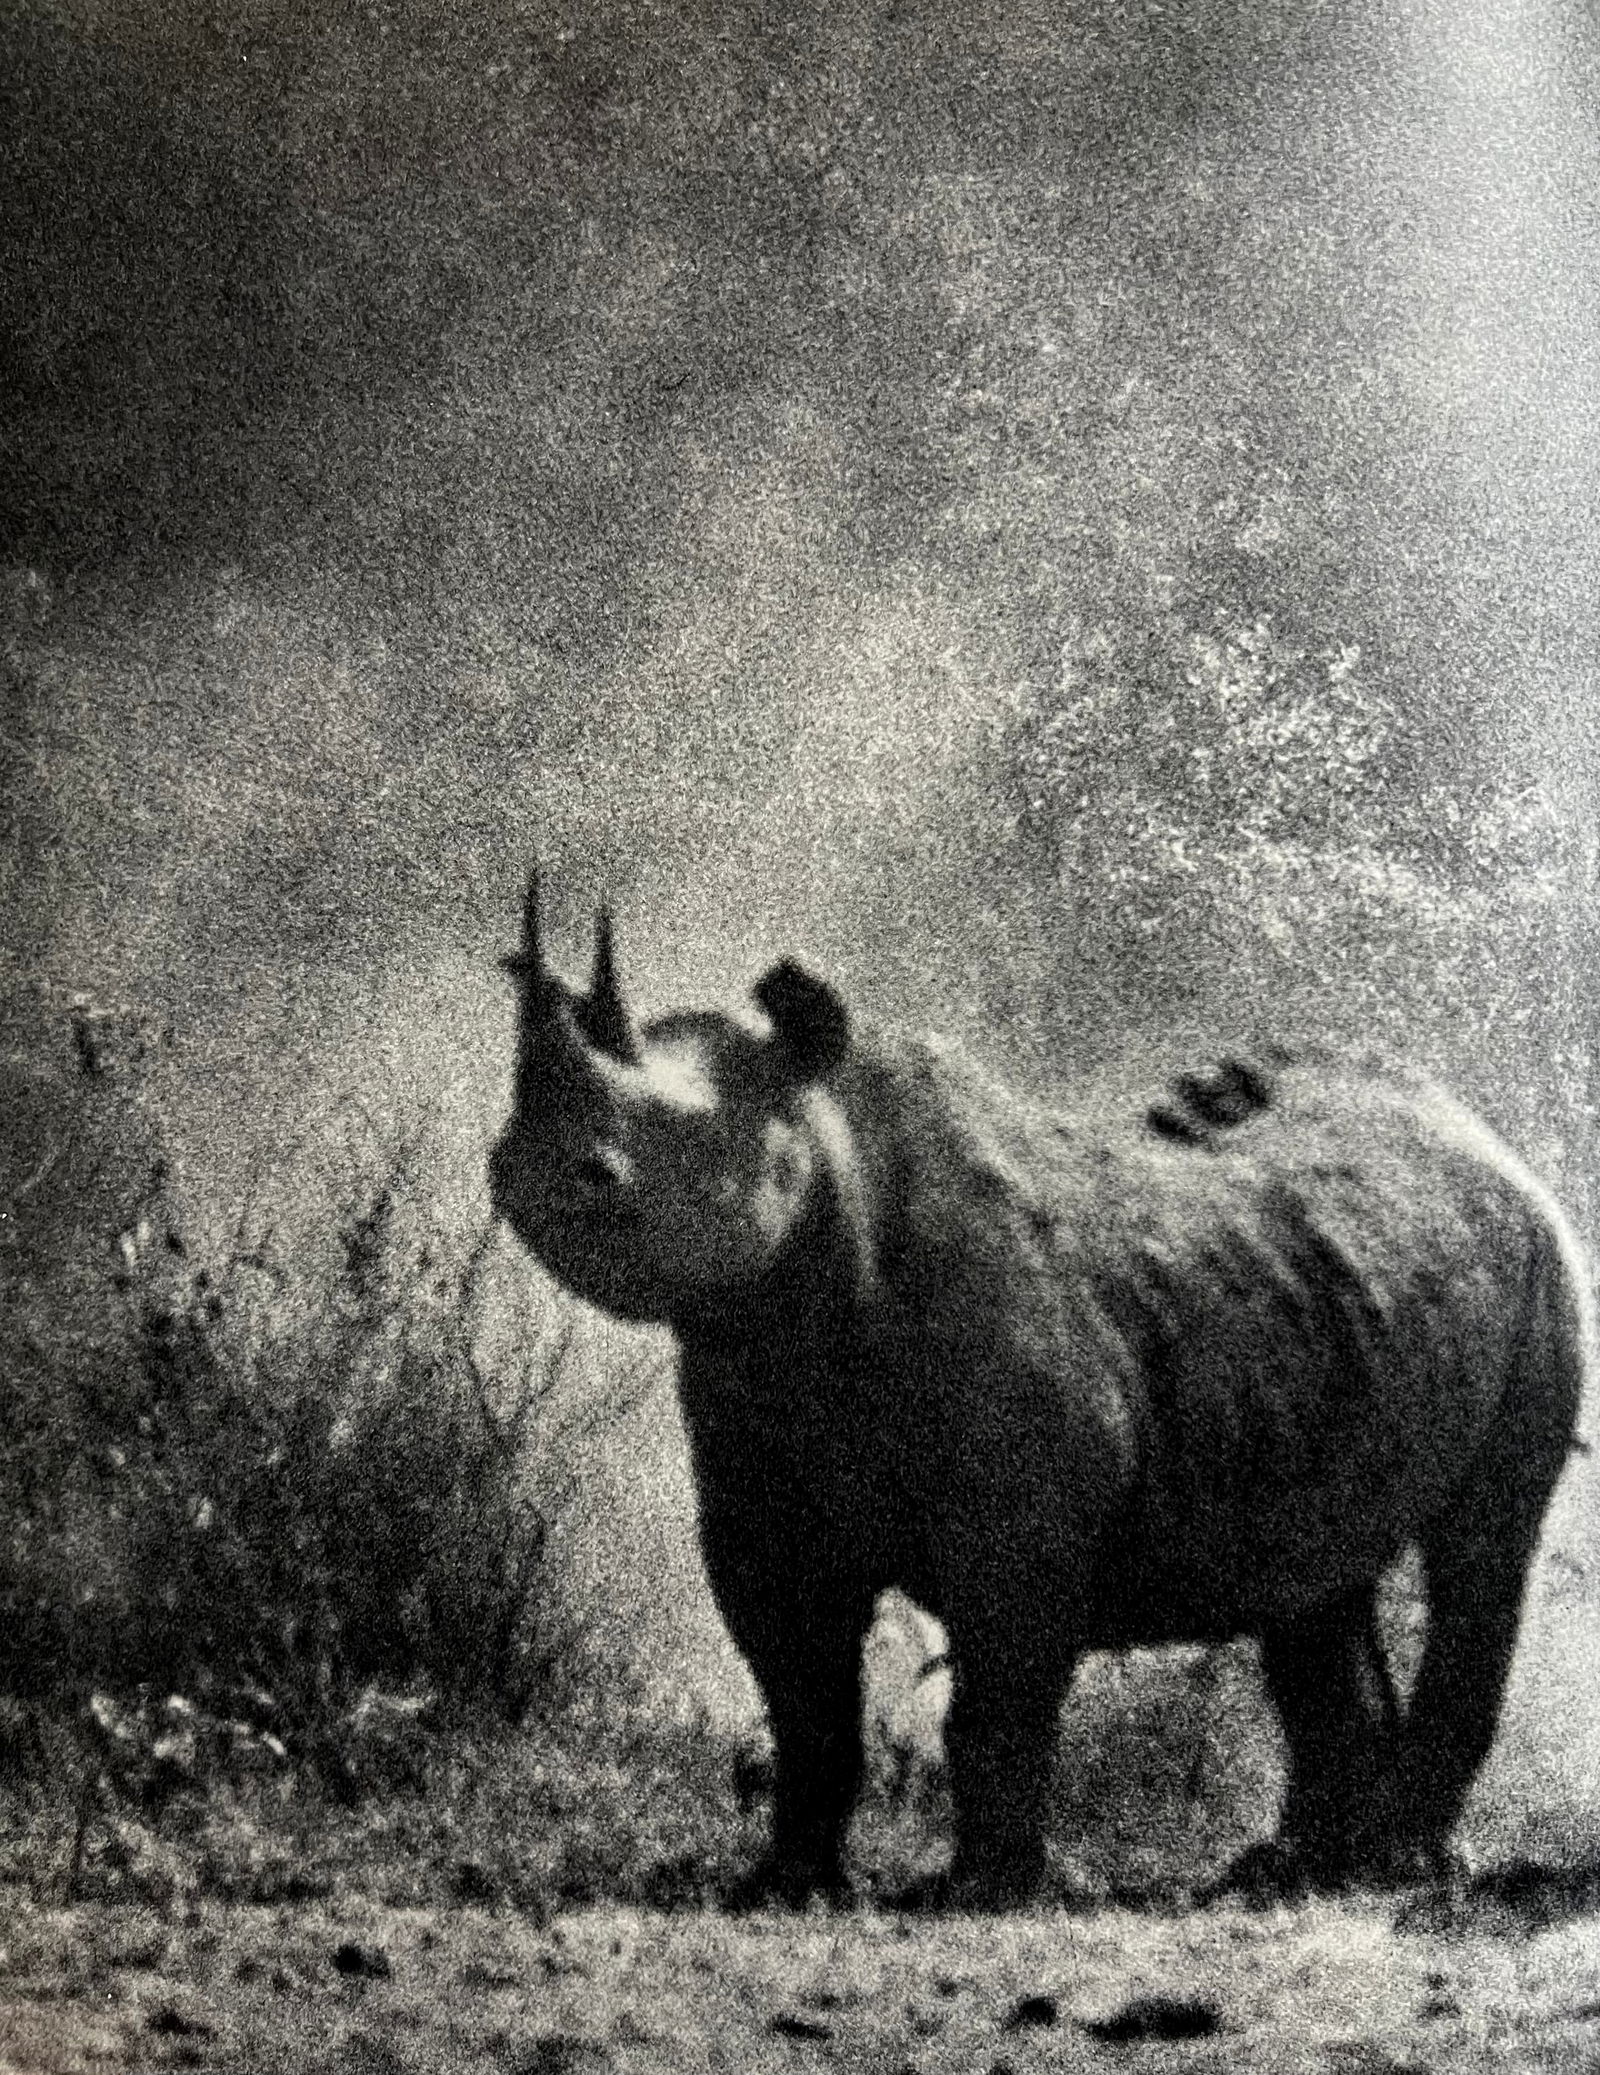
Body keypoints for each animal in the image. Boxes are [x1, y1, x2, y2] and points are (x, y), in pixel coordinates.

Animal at [488, 872, 1590, 1908]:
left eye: (664, 1148)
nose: (526, 1169)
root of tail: (1482, 1134)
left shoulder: (1020, 1517)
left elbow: (998, 1695)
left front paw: (980, 1892)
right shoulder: (763, 1494)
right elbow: (805, 1701)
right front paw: (783, 1885)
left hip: (1543, 1265)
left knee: (1482, 1542)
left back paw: (1400, 1867)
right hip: (1327, 1299)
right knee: (1314, 1576)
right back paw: (1296, 1873)